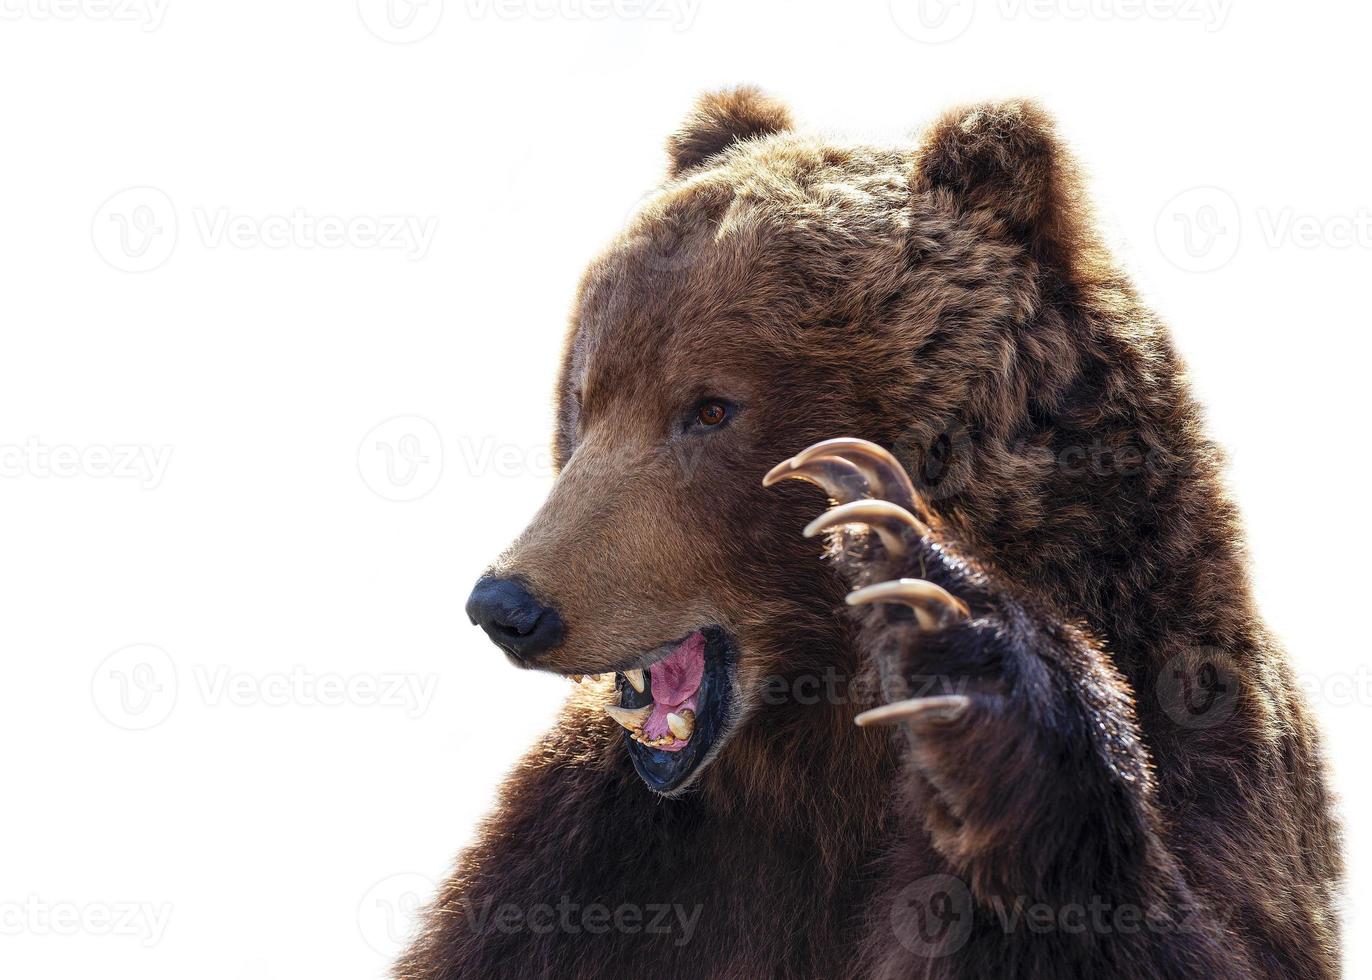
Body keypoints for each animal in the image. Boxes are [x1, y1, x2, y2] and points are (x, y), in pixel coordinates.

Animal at [395, 87, 1339, 971]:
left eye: (710, 407)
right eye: (582, 399)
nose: (508, 606)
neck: (824, 768)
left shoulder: (1207, 734)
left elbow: (1211, 929)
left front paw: (946, 625)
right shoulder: (609, 858)